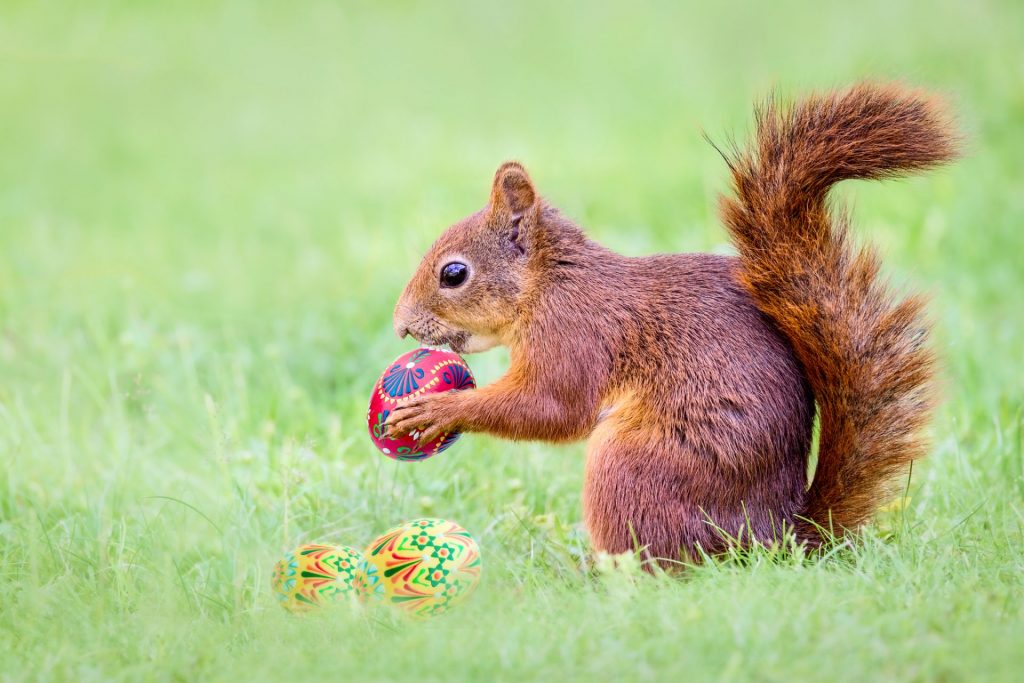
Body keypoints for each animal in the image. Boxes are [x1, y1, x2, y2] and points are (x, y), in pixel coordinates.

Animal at [385, 82, 958, 565]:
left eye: (454, 273)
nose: (401, 326)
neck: (550, 283)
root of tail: (775, 539)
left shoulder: (575, 333)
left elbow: (552, 406)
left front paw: (439, 409)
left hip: (635, 465)